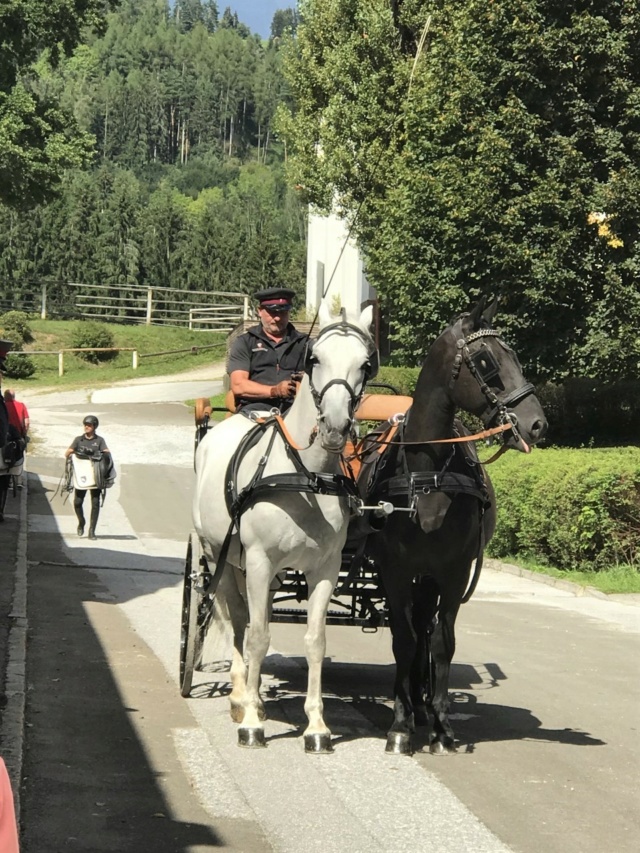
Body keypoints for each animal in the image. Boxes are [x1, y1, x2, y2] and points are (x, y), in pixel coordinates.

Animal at [192, 302, 378, 752]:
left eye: (366, 364)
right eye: (315, 359)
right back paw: (242, 697)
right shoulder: (259, 560)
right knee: (237, 619)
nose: (334, 426)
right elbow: (257, 636)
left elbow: (315, 642)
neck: (305, 475)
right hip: (220, 556)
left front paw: (317, 727)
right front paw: (252, 722)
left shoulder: (325, 569)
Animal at [362, 300, 548, 752]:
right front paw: (399, 724)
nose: (536, 423)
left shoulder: (452, 571)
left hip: (429, 577)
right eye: (486, 361)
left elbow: (441, 642)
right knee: (413, 632)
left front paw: (442, 725)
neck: (427, 473)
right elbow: (403, 638)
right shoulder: (395, 571)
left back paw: (422, 704)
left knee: (426, 630)